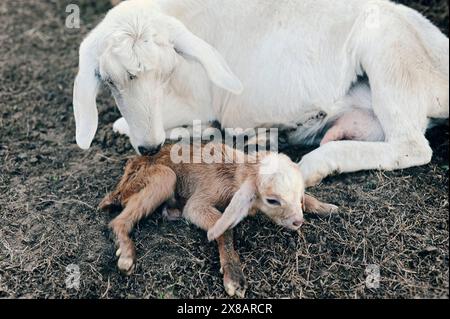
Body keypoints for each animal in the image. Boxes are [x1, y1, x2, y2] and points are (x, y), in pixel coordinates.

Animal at [72, 0, 448, 188]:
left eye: (167, 71)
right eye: (109, 81)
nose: (149, 148)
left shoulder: (200, 100)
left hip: (391, 54)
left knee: (411, 146)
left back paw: (313, 165)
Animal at [99, 144, 338, 298]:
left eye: (299, 193)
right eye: (272, 200)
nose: (298, 222)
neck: (232, 173)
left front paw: (327, 208)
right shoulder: (199, 203)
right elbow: (223, 229)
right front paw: (234, 277)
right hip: (155, 178)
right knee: (117, 222)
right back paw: (126, 256)